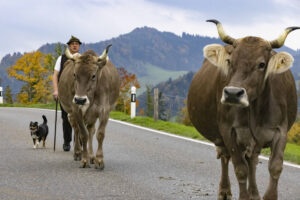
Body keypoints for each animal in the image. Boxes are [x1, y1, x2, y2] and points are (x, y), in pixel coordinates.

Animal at [188, 19, 298, 200]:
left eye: (261, 64)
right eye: (230, 61)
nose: (232, 93)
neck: (255, 112)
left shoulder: (280, 131)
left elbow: (275, 166)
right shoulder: (228, 131)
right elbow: (240, 169)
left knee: (252, 161)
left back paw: (254, 193)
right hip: (223, 137)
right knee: (226, 158)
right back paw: (225, 191)